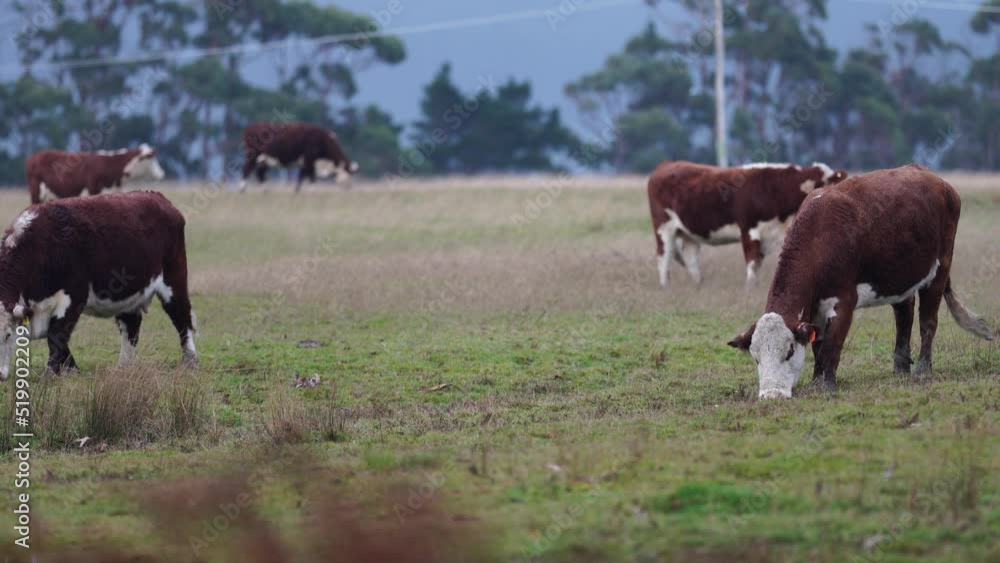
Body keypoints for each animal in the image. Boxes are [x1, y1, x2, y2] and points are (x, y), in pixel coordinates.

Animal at [0, 191, 198, 379]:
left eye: (8, 335)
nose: (0, 375)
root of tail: (157, 197)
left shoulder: (73, 297)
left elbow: (56, 336)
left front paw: (49, 374)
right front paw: (72, 370)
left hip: (173, 280)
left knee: (182, 318)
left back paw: (190, 361)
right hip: (129, 295)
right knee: (131, 325)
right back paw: (124, 367)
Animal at [648, 161, 848, 290]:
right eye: (823, 184)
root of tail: (665, 165)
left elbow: (757, 262)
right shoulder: (749, 229)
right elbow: (752, 262)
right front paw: (750, 288)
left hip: (689, 233)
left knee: (690, 259)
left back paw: (699, 285)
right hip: (663, 227)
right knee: (663, 255)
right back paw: (665, 287)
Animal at [727, 164, 994, 399]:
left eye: (789, 351)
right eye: (755, 357)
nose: (772, 395)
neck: (819, 238)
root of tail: (936, 179)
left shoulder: (844, 301)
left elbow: (831, 345)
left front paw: (825, 385)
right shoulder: (815, 309)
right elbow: (818, 345)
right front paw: (817, 379)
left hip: (939, 269)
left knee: (927, 320)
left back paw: (922, 369)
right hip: (900, 275)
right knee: (904, 316)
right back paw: (900, 368)